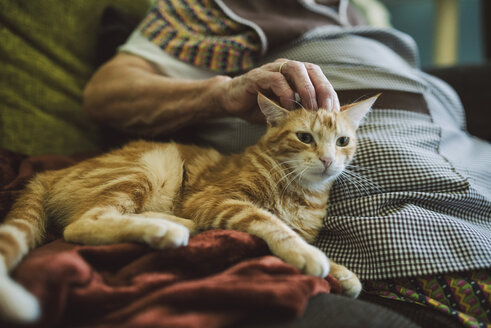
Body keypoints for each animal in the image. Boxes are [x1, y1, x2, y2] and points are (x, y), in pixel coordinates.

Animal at [0, 93, 378, 322]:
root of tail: (50, 172)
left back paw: (178, 223)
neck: (302, 193)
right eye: (304, 137)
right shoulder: (214, 199)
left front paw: (341, 272)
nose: (328, 160)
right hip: (152, 164)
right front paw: (308, 255)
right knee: (82, 223)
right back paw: (163, 229)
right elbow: (272, 223)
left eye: (343, 141)